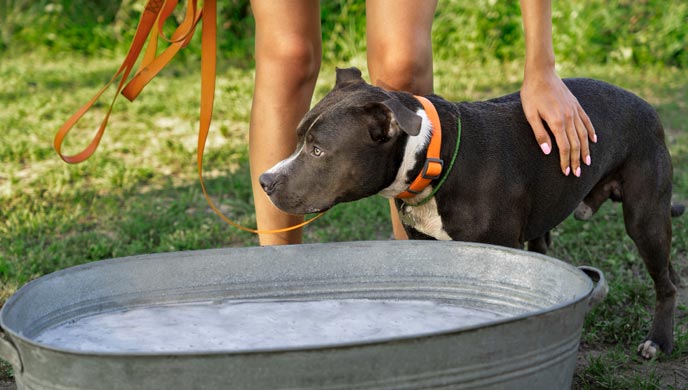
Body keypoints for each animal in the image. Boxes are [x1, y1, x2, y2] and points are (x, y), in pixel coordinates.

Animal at [260, 67, 684, 360]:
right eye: (297, 140)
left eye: (318, 150)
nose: (265, 180)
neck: (434, 158)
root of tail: (644, 103)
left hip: (645, 217)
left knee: (667, 283)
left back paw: (658, 341)